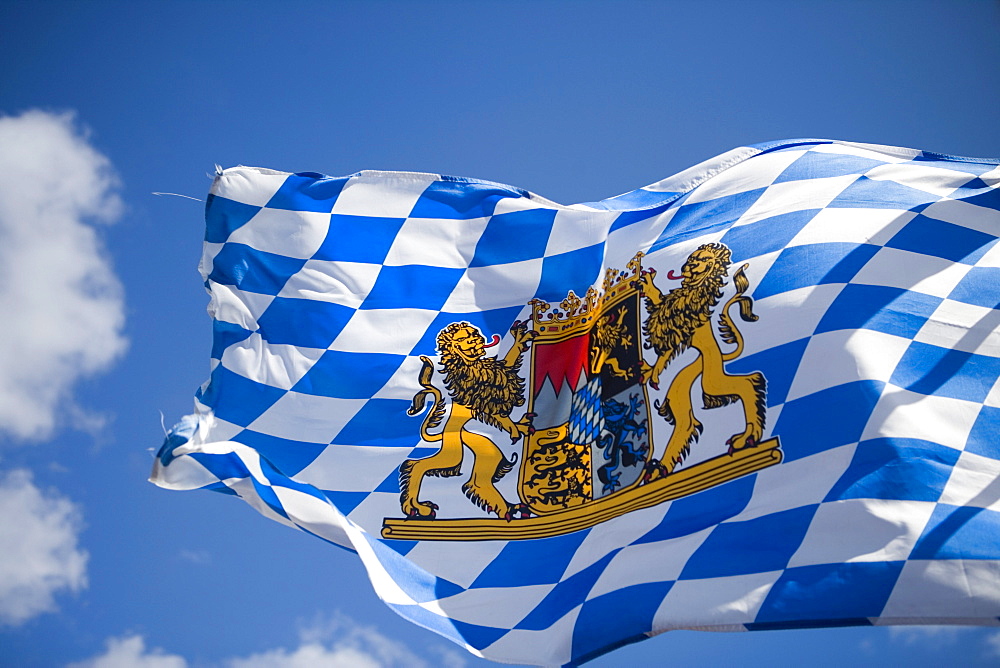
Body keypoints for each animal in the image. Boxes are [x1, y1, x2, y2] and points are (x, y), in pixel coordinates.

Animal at [400, 320, 540, 520]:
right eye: (462, 338)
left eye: (473, 334)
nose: (477, 340)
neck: (470, 363)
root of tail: (443, 433)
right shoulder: (484, 397)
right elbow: (502, 416)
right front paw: (515, 428)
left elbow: (508, 362)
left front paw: (520, 338)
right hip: (453, 452)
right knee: (417, 465)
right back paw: (417, 507)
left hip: (480, 445)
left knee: (478, 480)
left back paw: (508, 508)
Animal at [636, 243, 768, 478]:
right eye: (691, 258)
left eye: (703, 259)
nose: (686, 267)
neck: (694, 288)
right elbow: (658, 301)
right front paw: (649, 284)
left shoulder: (678, 327)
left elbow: (664, 353)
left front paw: (653, 371)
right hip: (686, 377)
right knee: (685, 419)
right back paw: (661, 468)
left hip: (710, 378)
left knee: (749, 382)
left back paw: (747, 436)